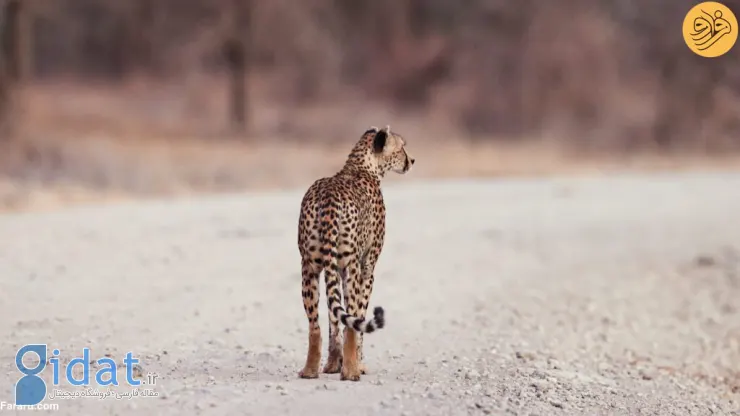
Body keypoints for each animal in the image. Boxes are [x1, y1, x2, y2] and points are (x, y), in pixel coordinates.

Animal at [296, 125, 414, 382]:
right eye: (401, 148)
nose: (411, 160)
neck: (361, 166)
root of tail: (328, 196)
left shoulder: (331, 268)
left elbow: (333, 320)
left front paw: (333, 364)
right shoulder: (366, 267)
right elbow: (357, 318)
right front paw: (356, 364)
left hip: (309, 267)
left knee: (314, 325)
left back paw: (310, 370)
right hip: (352, 268)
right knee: (352, 319)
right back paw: (351, 371)